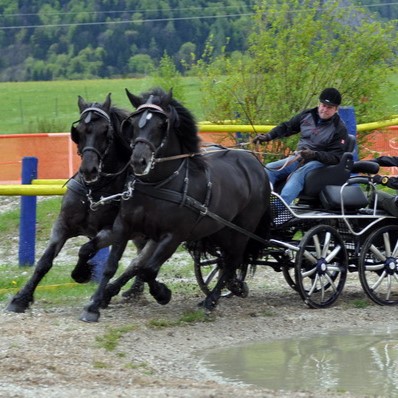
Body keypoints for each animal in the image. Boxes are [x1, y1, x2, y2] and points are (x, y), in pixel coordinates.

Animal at [6, 94, 144, 314]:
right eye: (78, 131)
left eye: (105, 131)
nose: (89, 169)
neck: (94, 191)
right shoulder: (62, 225)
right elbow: (45, 261)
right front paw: (21, 298)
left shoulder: (112, 232)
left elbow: (85, 249)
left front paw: (82, 273)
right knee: (141, 257)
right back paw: (134, 291)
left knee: (141, 261)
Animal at [80, 88, 274, 324]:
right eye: (133, 124)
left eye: (160, 125)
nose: (139, 161)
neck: (156, 185)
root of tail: (255, 164)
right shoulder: (125, 227)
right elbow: (112, 265)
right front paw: (94, 304)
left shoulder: (173, 236)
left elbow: (147, 269)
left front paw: (162, 293)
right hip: (221, 229)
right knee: (228, 261)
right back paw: (233, 287)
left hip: (242, 230)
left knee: (232, 260)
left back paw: (212, 300)